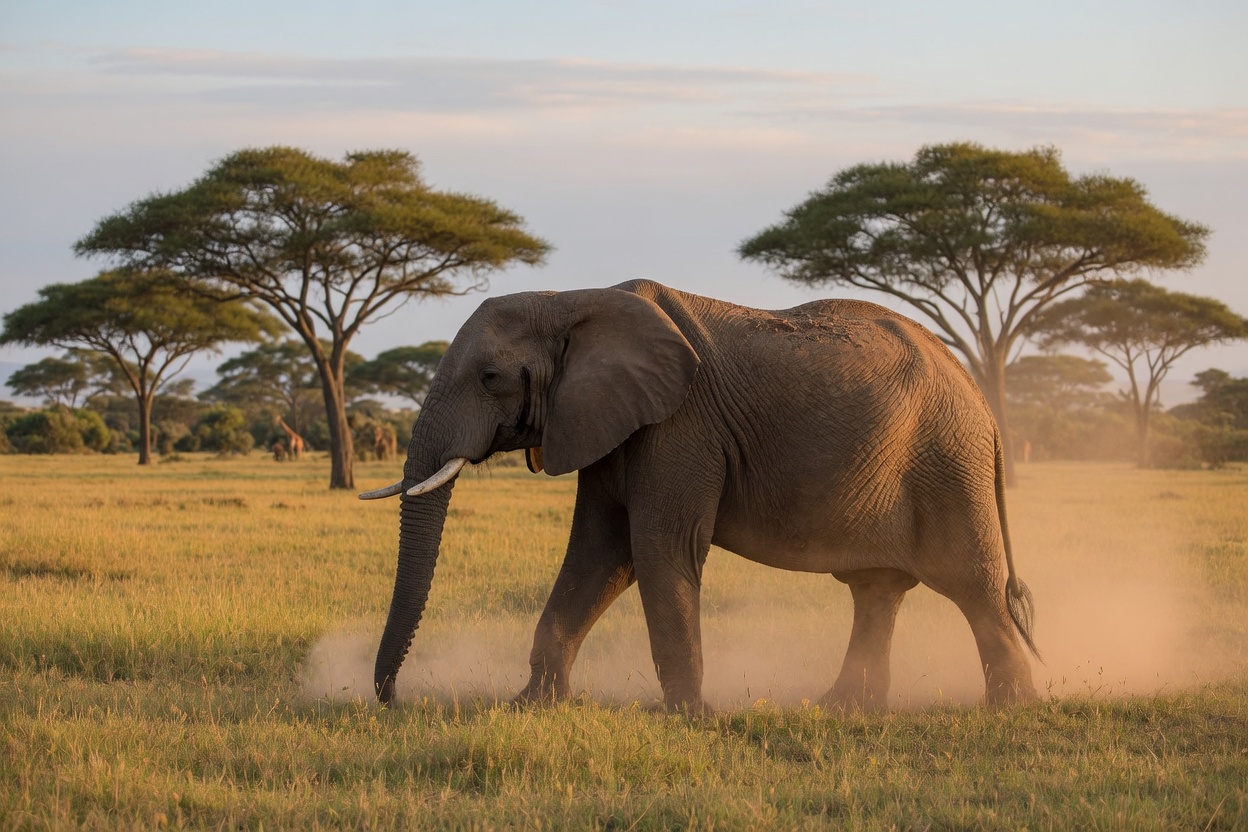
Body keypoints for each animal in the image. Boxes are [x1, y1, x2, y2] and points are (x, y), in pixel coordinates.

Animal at [360, 280, 1039, 712]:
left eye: (490, 377)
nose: (395, 701)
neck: (572, 298)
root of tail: (981, 398)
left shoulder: (680, 425)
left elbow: (657, 551)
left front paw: (687, 717)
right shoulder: (608, 419)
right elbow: (599, 555)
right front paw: (529, 707)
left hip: (947, 462)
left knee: (973, 587)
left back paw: (1009, 712)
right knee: (877, 590)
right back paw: (842, 709)